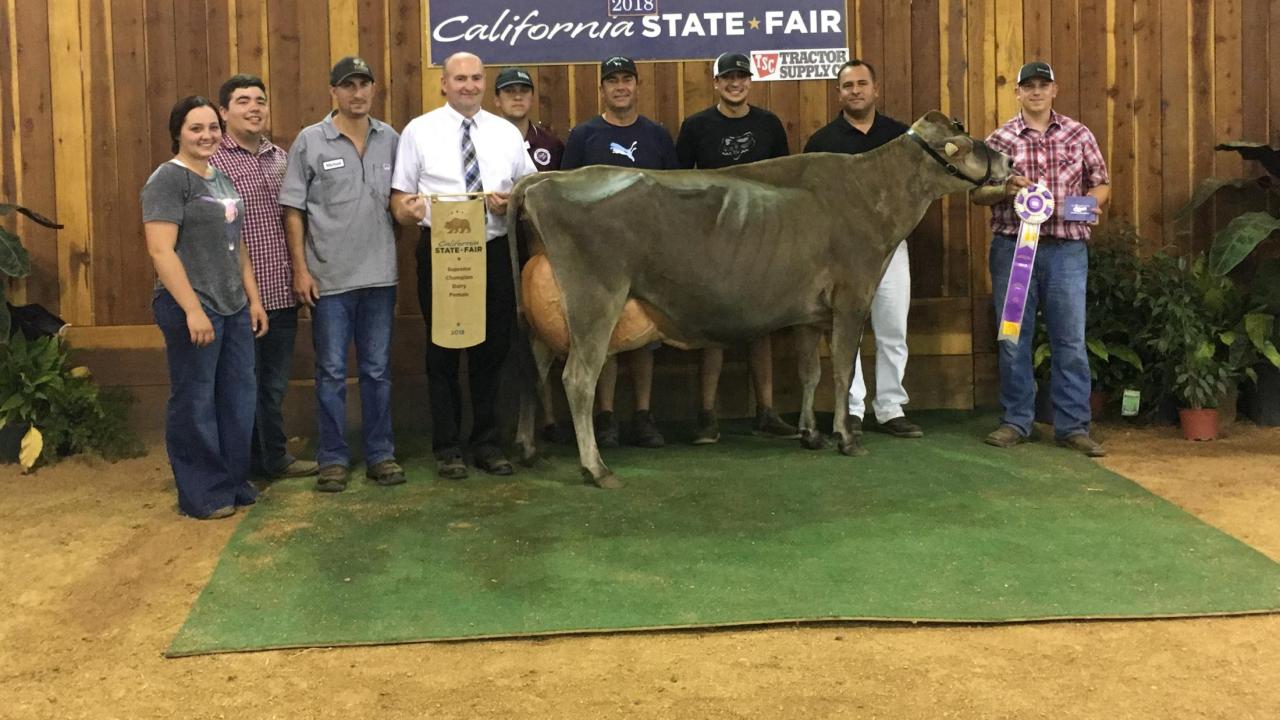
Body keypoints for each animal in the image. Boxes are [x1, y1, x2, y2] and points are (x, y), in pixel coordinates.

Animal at [504, 110, 1013, 486]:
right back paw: (595, 468)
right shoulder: (853, 295)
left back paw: (528, 449)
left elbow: (810, 372)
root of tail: (544, 182)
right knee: (577, 378)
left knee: (534, 368)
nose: (1008, 161)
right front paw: (846, 437)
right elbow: (844, 369)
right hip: (596, 298)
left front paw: (810, 433)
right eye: (967, 137)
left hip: (547, 314)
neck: (873, 191)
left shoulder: (810, 313)